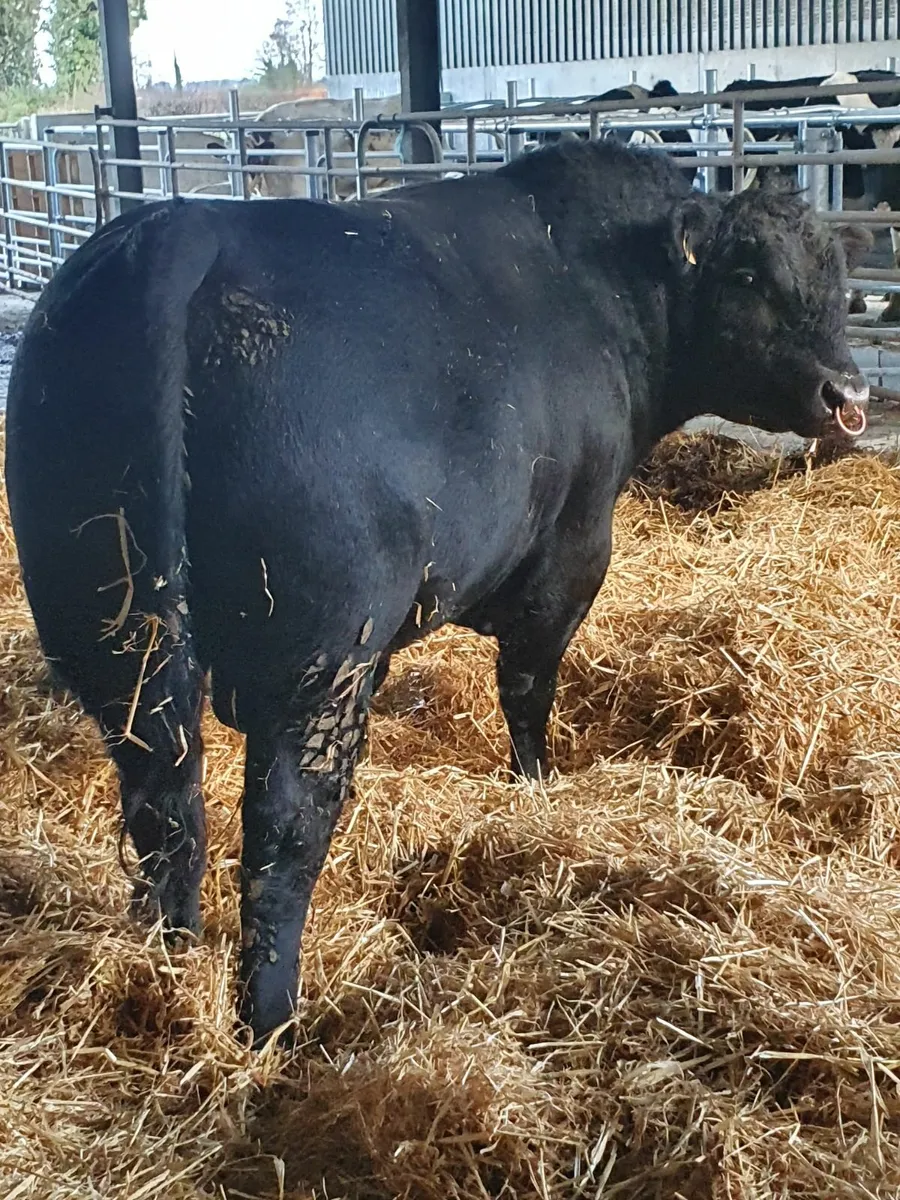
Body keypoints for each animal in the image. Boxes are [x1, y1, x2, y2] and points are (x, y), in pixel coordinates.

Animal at [5, 140, 871, 1044]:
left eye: (835, 278)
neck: (604, 285)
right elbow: (527, 692)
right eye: (748, 274)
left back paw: (170, 964)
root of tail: (181, 230)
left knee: (164, 805)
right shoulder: (568, 560)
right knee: (284, 828)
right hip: (318, 661)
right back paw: (272, 1020)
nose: (848, 397)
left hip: (114, 642)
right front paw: (538, 787)